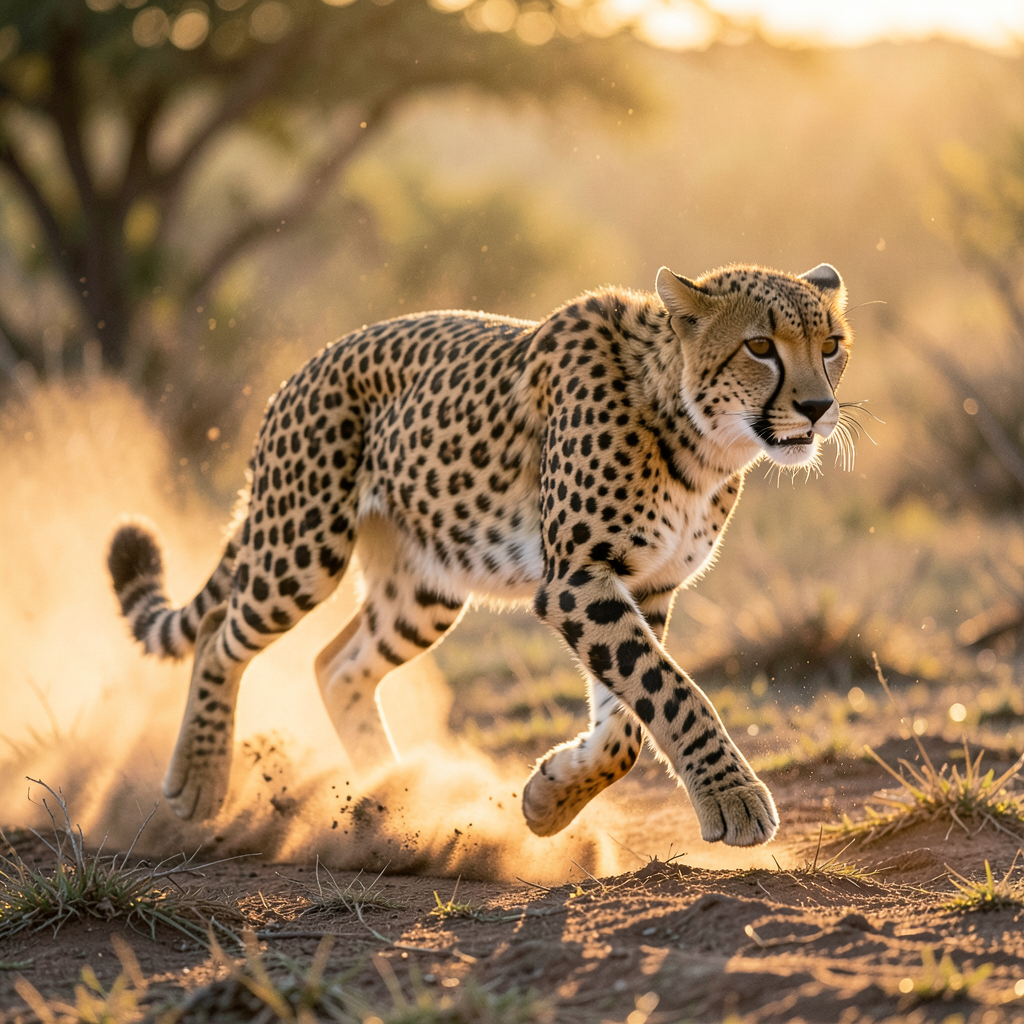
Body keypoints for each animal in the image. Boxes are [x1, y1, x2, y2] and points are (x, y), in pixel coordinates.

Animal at [107, 261, 852, 847]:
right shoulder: (578, 579)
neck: (699, 438)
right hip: (301, 547)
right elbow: (670, 692)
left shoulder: (645, 587)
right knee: (218, 633)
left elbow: (628, 725)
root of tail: (303, 369)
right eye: (760, 345)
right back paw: (200, 780)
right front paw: (735, 798)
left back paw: (389, 801)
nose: (818, 407)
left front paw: (550, 799)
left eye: (832, 345)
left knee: (336, 665)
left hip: (426, 590)